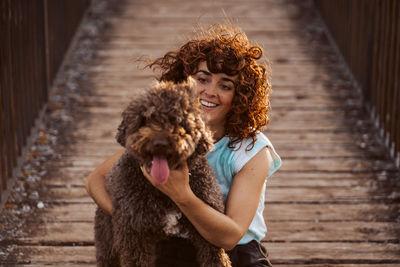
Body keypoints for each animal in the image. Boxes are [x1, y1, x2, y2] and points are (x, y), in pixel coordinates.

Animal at [94, 79, 231, 267]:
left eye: (178, 120)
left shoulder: (209, 230)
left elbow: (215, 258)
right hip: (107, 241)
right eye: (145, 119)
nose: (160, 143)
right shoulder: (134, 233)